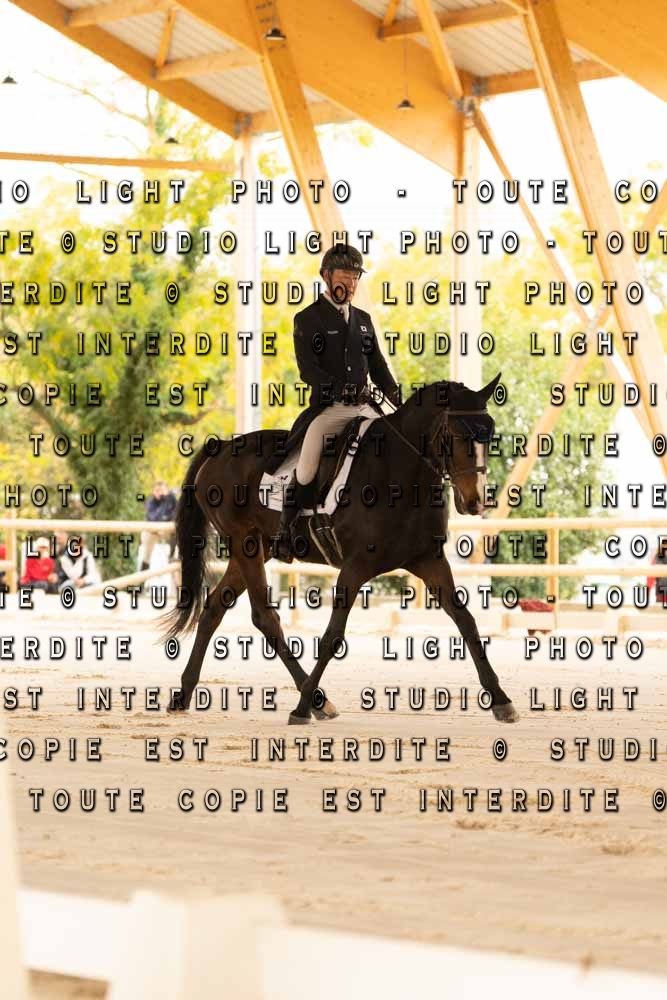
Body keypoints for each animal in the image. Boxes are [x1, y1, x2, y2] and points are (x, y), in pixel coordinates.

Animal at [162, 374, 518, 725]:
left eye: (490, 435)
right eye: (454, 435)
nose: (475, 502)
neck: (401, 474)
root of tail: (221, 448)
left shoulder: (428, 560)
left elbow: (466, 620)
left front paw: (501, 700)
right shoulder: (356, 566)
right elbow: (333, 635)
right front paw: (301, 707)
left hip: (255, 548)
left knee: (214, 610)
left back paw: (184, 693)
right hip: (244, 544)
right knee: (264, 616)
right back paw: (317, 701)